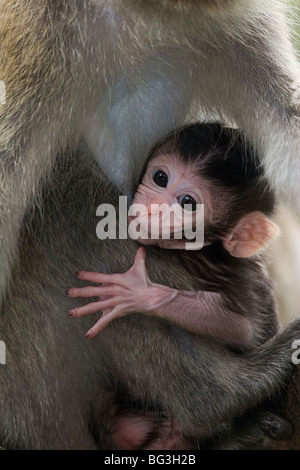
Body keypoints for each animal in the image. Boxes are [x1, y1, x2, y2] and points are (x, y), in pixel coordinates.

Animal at [67, 123, 280, 350]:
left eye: (187, 202)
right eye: (160, 178)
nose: (151, 208)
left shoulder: (230, 275)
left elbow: (239, 327)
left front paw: (135, 293)